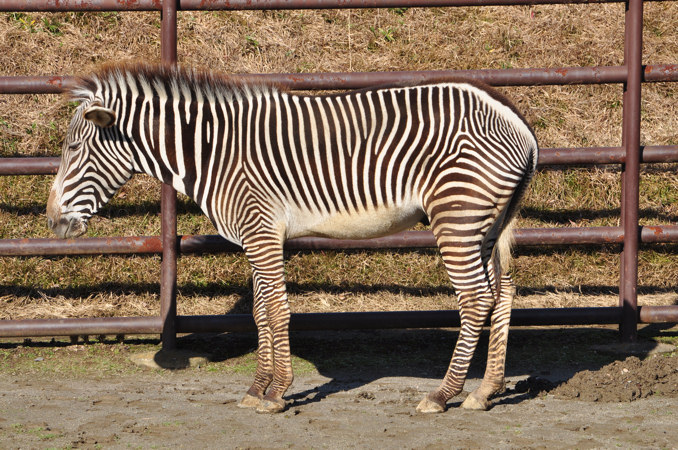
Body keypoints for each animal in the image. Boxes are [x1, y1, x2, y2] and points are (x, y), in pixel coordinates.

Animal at [45, 63, 540, 414]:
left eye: (73, 149)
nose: (52, 223)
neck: (213, 152)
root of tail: (515, 118)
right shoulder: (254, 235)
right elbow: (260, 313)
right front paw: (256, 388)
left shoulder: (261, 229)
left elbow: (278, 311)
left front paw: (278, 393)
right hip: (486, 223)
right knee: (503, 290)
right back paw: (485, 391)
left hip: (457, 216)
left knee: (476, 297)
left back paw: (442, 394)